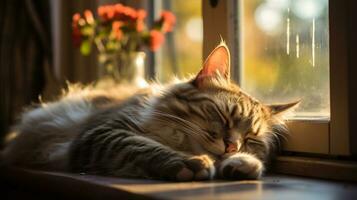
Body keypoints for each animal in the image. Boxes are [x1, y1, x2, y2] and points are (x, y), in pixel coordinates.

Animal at [1, 43, 298, 182]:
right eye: (225, 117)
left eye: (250, 139)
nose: (232, 146)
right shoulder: (103, 132)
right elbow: (144, 146)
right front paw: (189, 164)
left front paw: (242, 164)